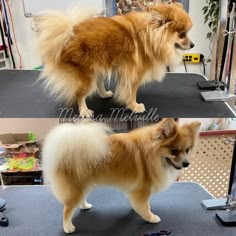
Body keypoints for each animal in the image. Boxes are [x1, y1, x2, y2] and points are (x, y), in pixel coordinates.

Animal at [35, 3, 194, 117]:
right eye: (182, 34)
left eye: (188, 33)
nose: (192, 44)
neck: (149, 37)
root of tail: (67, 34)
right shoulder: (134, 74)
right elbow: (132, 93)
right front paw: (135, 106)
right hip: (86, 75)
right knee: (80, 94)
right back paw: (84, 111)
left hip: (97, 67)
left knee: (98, 84)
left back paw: (105, 94)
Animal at [42, 119, 201, 233]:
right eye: (174, 151)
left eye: (187, 150)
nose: (186, 163)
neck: (152, 155)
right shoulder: (142, 189)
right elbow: (145, 206)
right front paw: (150, 217)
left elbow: (141, 204)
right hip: (77, 186)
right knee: (67, 209)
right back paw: (68, 227)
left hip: (85, 184)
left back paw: (85, 206)